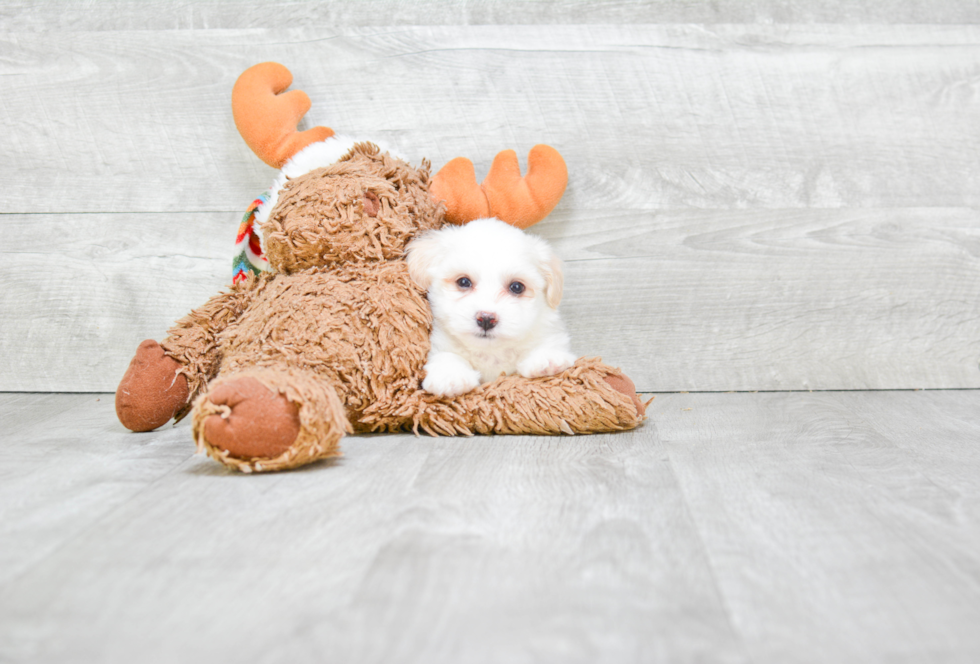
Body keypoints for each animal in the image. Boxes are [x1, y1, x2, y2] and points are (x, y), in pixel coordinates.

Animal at [404, 218, 580, 396]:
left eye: (517, 287)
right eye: (463, 281)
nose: (486, 319)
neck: (490, 352)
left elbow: (549, 342)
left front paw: (546, 357)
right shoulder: (439, 343)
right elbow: (447, 355)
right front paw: (450, 375)